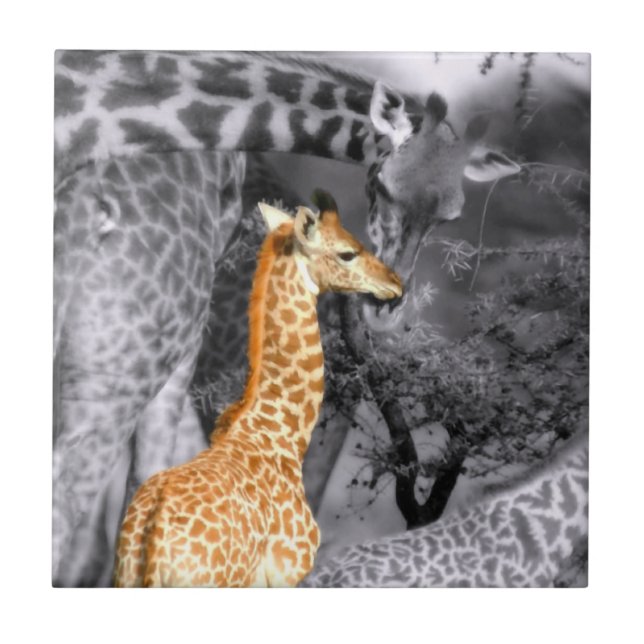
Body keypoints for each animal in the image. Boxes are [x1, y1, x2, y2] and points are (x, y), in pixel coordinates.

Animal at [114, 191, 403, 587]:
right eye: (347, 252)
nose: (395, 282)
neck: (282, 435)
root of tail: (152, 539)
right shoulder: (290, 572)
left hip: (123, 576)